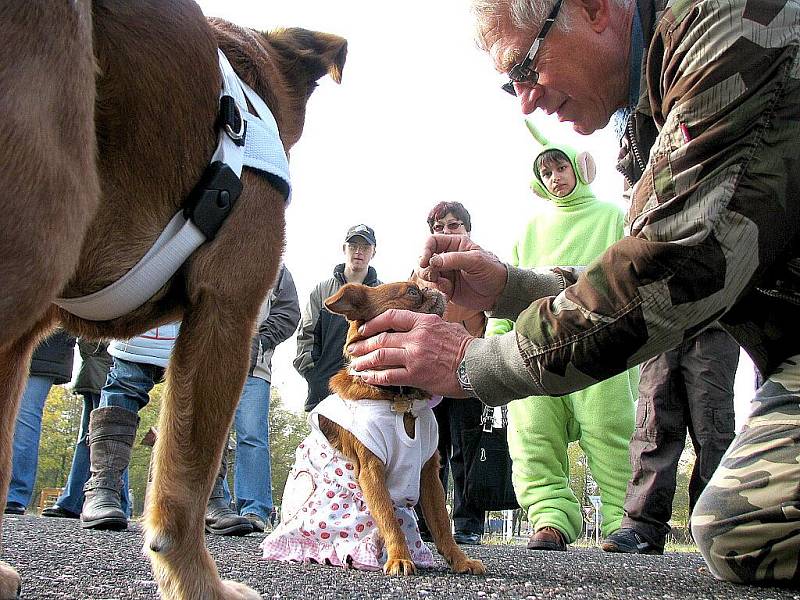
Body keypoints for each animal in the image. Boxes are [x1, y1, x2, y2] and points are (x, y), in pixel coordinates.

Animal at [264, 284, 488, 576]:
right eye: (412, 292)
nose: (432, 286)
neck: (399, 395)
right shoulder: (371, 470)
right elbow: (389, 519)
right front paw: (400, 558)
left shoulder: (429, 474)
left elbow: (441, 522)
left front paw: (460, 560)